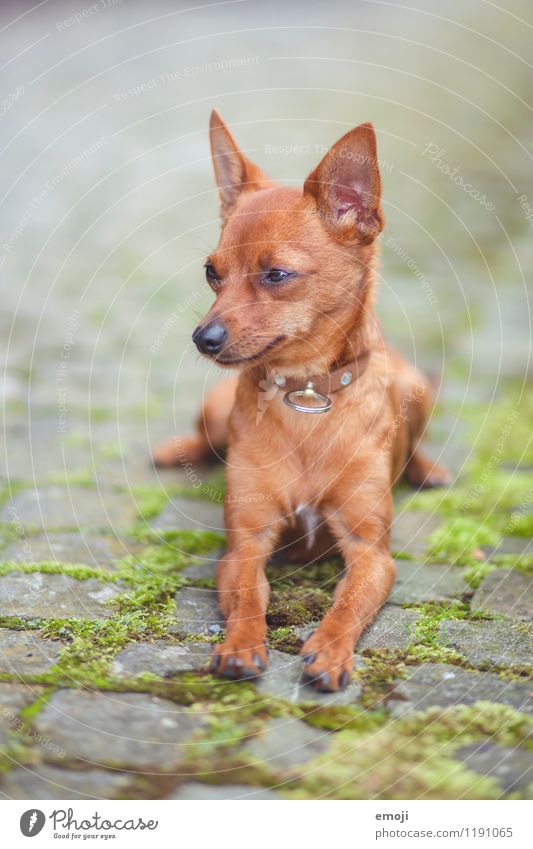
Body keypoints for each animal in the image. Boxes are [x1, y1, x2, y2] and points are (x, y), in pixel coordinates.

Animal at [154, 111, 448, 688]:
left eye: (277, 275)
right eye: (211, 272)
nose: (203, 338)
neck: (305, 397)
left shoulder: (371, 553)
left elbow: (348, 604)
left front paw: (330, 651)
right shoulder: (245, 544)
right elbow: (249, 599)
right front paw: (241, 645)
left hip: (415, 386)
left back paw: (428, 470)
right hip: (214, 408)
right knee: (203, 436)